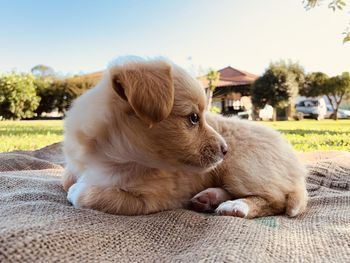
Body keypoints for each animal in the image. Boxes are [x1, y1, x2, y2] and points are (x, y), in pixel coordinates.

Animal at [62, 58, 306, 220]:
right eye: (194, 118)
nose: (225, 149)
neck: (113, 156)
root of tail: (297, 168)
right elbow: (67, 179)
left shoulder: (151, 199)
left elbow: (88, 194)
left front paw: (79, 190)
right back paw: (210, 197)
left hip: (241, 168)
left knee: (277, 200)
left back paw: (237, 206)